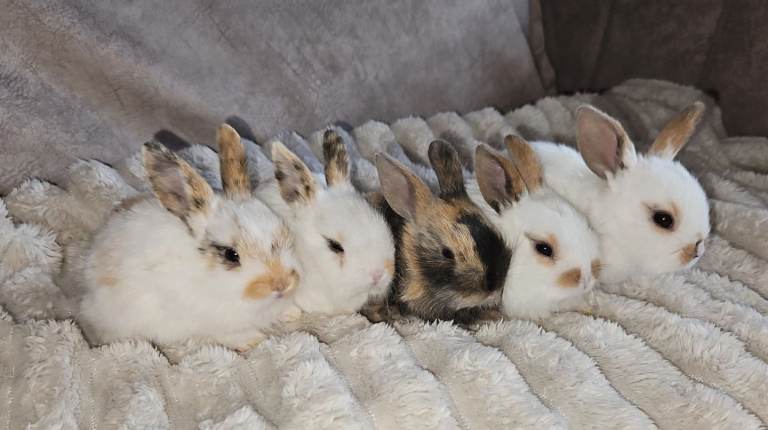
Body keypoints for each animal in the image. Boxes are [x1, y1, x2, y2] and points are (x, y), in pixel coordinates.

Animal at [78, 125, 300, 352]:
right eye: (231, 255)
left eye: (284, 232)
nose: (282, 284)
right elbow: (231, 334)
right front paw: (253, 340)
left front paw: (292, 312)